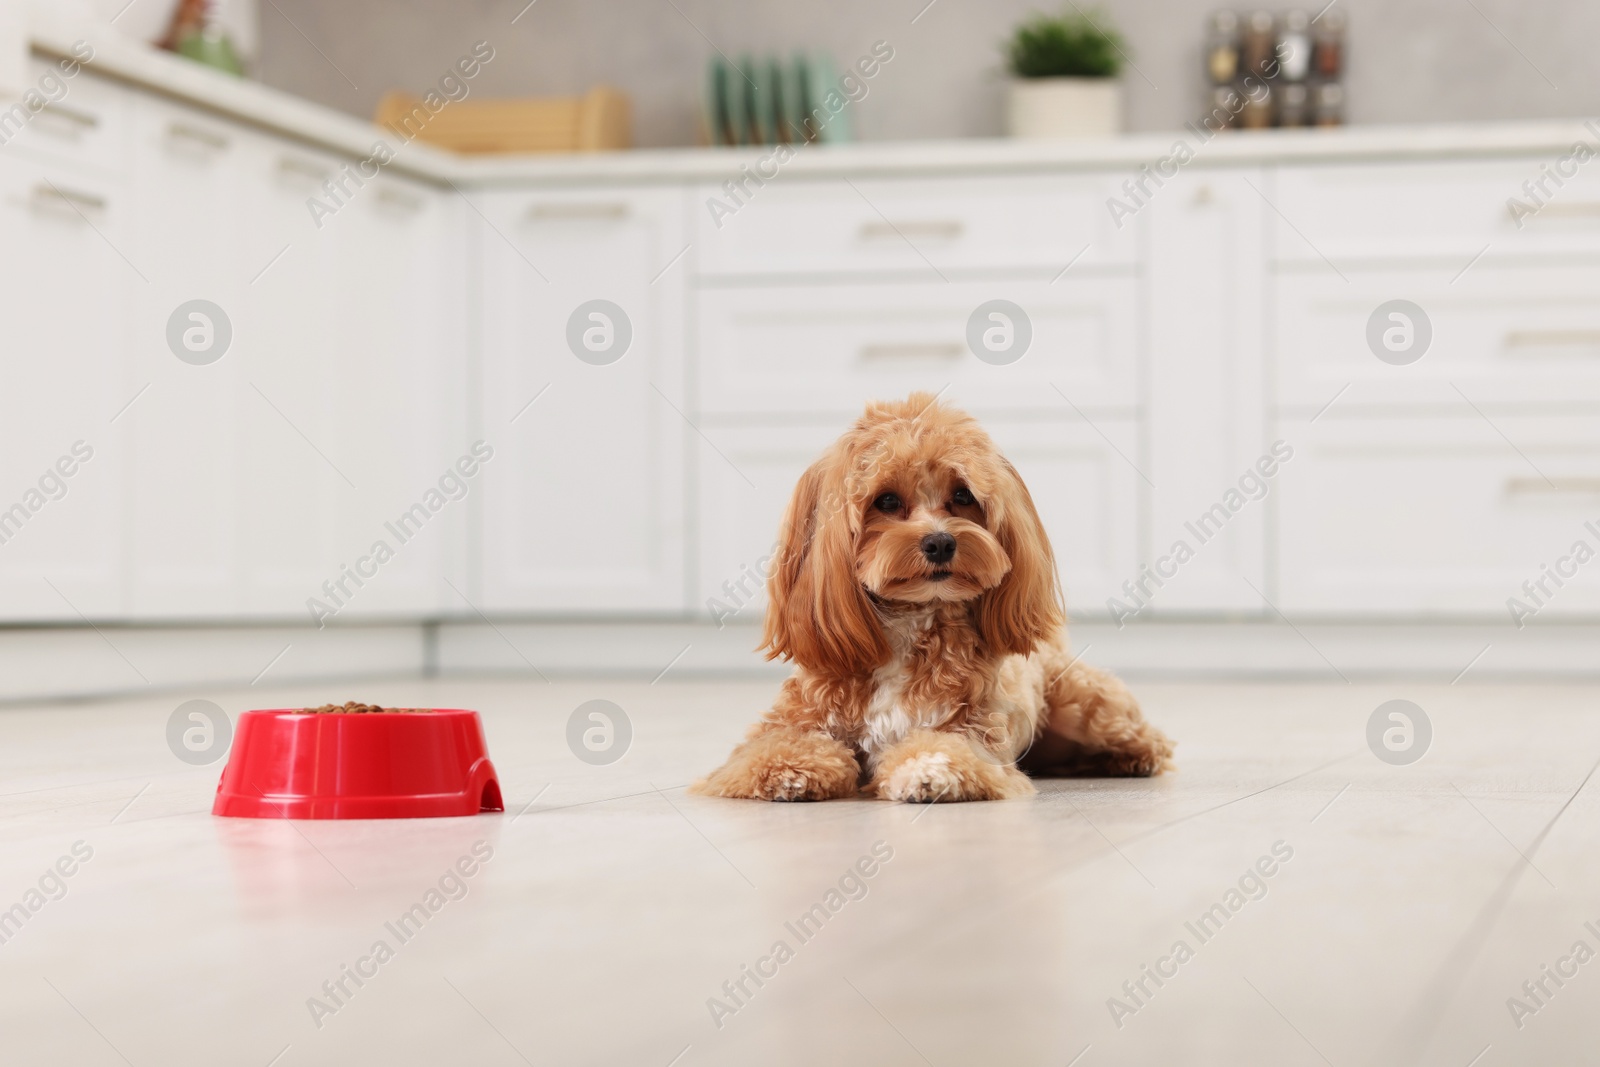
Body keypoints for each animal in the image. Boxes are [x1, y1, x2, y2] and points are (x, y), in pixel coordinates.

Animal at [691, 391, 1177, 799]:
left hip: (1086, 706)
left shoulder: (970, 728)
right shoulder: (795, 720)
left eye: (962, 495)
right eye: (887, 501)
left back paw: (1129, 758)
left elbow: (942, 748)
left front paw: (927, 770)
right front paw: (788, 772)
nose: (941, 542)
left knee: (1144, 736)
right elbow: (773, 748)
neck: (906, 625)